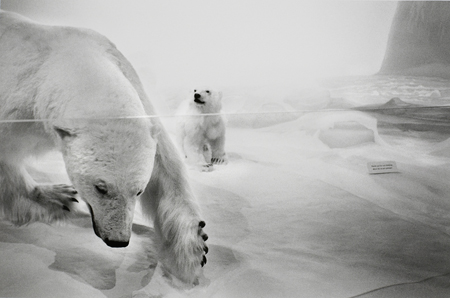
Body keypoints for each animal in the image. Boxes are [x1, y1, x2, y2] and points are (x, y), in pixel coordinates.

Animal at [0, 9, 208, 284]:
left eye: (138, 191)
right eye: (100, 188)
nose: (118, 241)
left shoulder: (128, 76)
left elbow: (164, 165)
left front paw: (193, 246)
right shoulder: (14, 105)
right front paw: (53, 196)